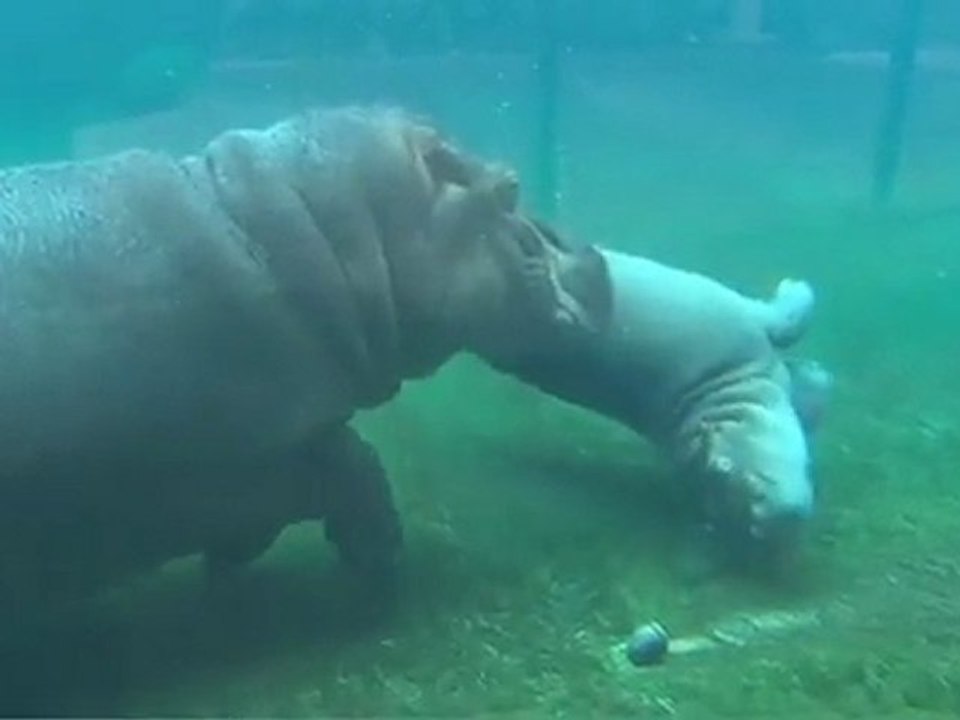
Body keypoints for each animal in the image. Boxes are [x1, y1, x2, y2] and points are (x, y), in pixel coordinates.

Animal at [491, 237, 832, 566]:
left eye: (714, 484)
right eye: (722, 468)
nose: (773, 526)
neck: (719, 392)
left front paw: (816, 376)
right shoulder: (747, 320)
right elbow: (788, 320)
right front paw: (795, 284)